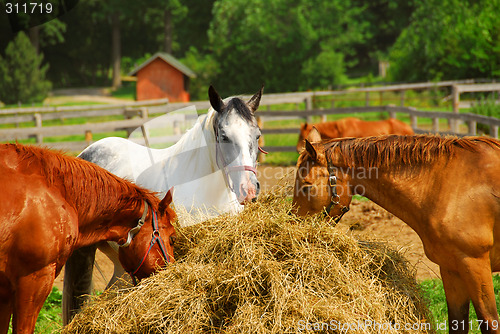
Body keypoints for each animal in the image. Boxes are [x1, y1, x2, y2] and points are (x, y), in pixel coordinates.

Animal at [292, 129, 500, 334]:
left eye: (307, 185)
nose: (295, 225)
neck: (446, 184)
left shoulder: (475, 264)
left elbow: (489, 321)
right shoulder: (451, 269)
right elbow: (457, 321)